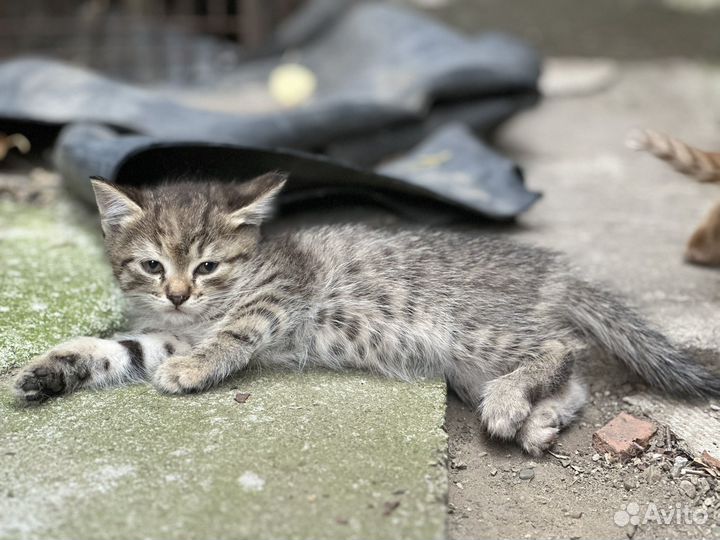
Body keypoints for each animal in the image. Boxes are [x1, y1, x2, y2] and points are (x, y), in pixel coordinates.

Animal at [12, 173, 720, 456]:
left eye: (207, 266)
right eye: (153, 267)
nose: (180, 294)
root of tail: (555, 271)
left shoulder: (281, 292)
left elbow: (232, 332)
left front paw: (193, 371)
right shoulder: (162, 332)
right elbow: (114, 348)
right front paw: (46, 371)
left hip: (467, 324)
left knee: (559, 348)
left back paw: (509, 403)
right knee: (573, 384)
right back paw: (538, 418)